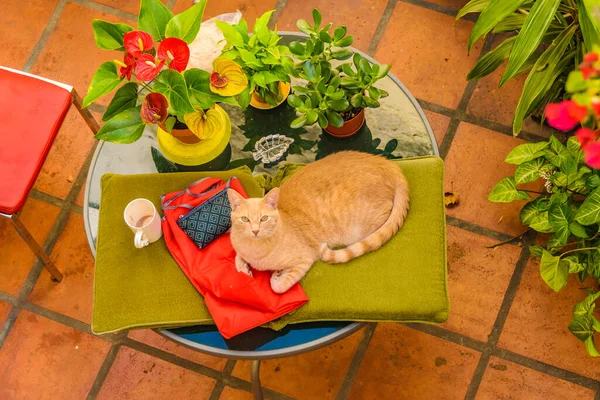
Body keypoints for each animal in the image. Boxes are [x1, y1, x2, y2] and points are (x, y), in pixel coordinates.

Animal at [227, 152, 410, 292]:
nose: (255, 231)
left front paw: (276, 276)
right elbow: (237, 258)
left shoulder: (305, 259)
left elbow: (279, 288)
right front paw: (245, 268)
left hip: (360, 227)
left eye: (264, 218)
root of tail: (387, 163)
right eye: (245, 219)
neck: (256, 251)